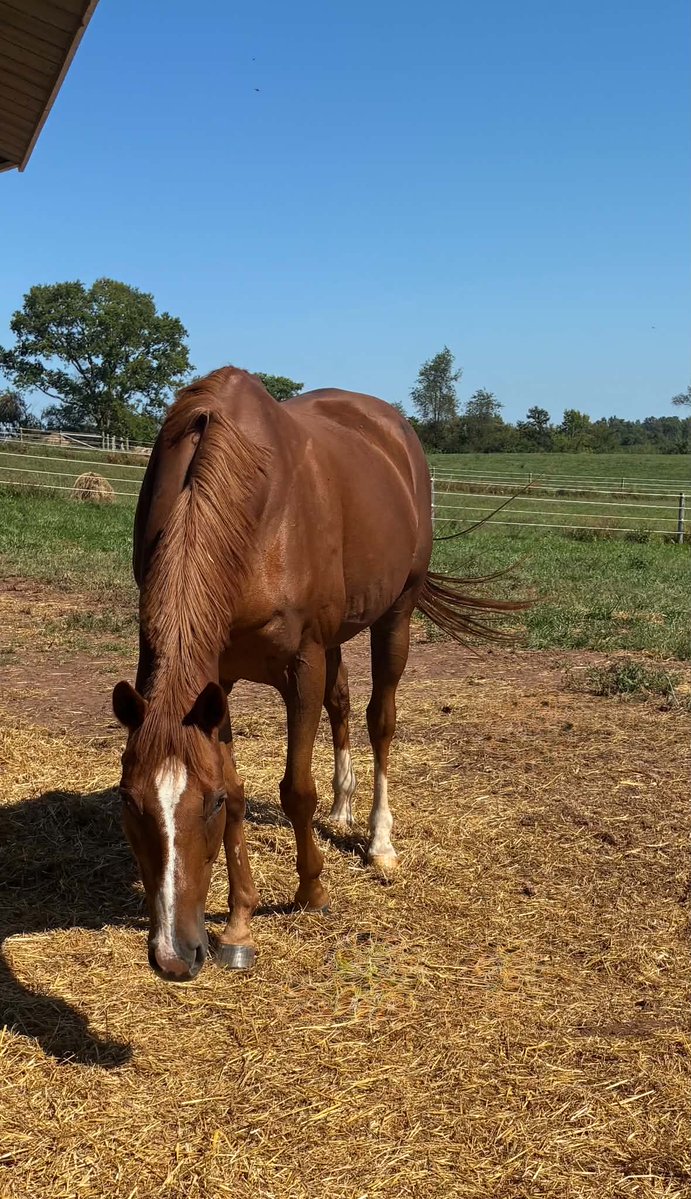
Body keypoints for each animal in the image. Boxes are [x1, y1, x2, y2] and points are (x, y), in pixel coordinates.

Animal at [113, 367, 514, 981]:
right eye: (129, 803)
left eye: (205, 806)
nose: (175, 955)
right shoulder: (219, 680)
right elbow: (243, 784)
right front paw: (239, 926)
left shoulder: (302, 662)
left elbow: (295, 789)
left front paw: (312, 891)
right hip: (339, 635)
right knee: (343, 703)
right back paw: (343, 806)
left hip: (395, 614)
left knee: (379, 719)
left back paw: (378, 842)